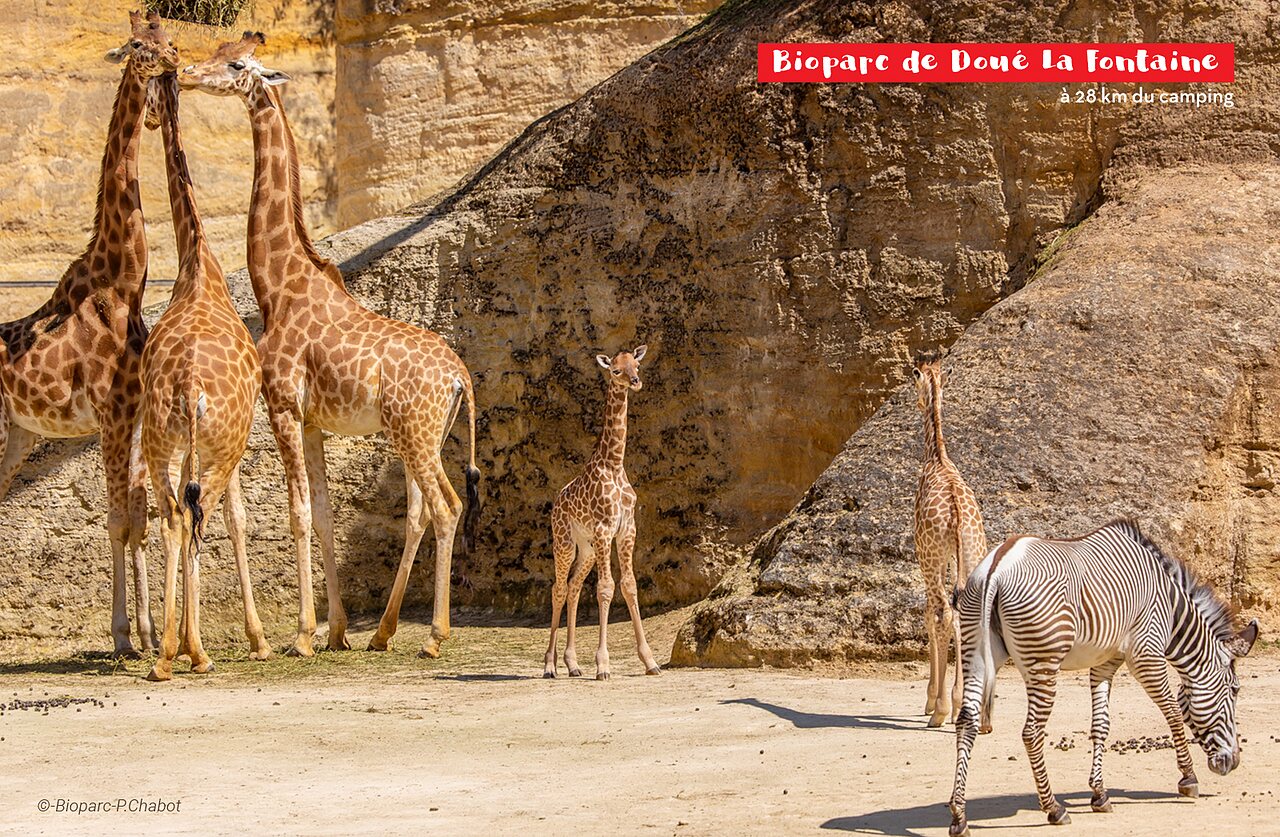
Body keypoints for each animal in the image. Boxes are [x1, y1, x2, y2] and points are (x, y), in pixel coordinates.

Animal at [947, 519, 1259, 836]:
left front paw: (1099, 794)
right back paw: (1054, 809)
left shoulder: (1105, 662)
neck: (1171, 612)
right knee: (1031, 732)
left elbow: (1101, 725)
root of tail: (996, 569)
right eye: (1235, 690)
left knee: (966, 722)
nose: (1233, 762)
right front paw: (1188, 779)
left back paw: (959, 816)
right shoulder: (1145, 655)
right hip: (1043, 661)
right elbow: (1172, 711)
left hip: (976, 651)